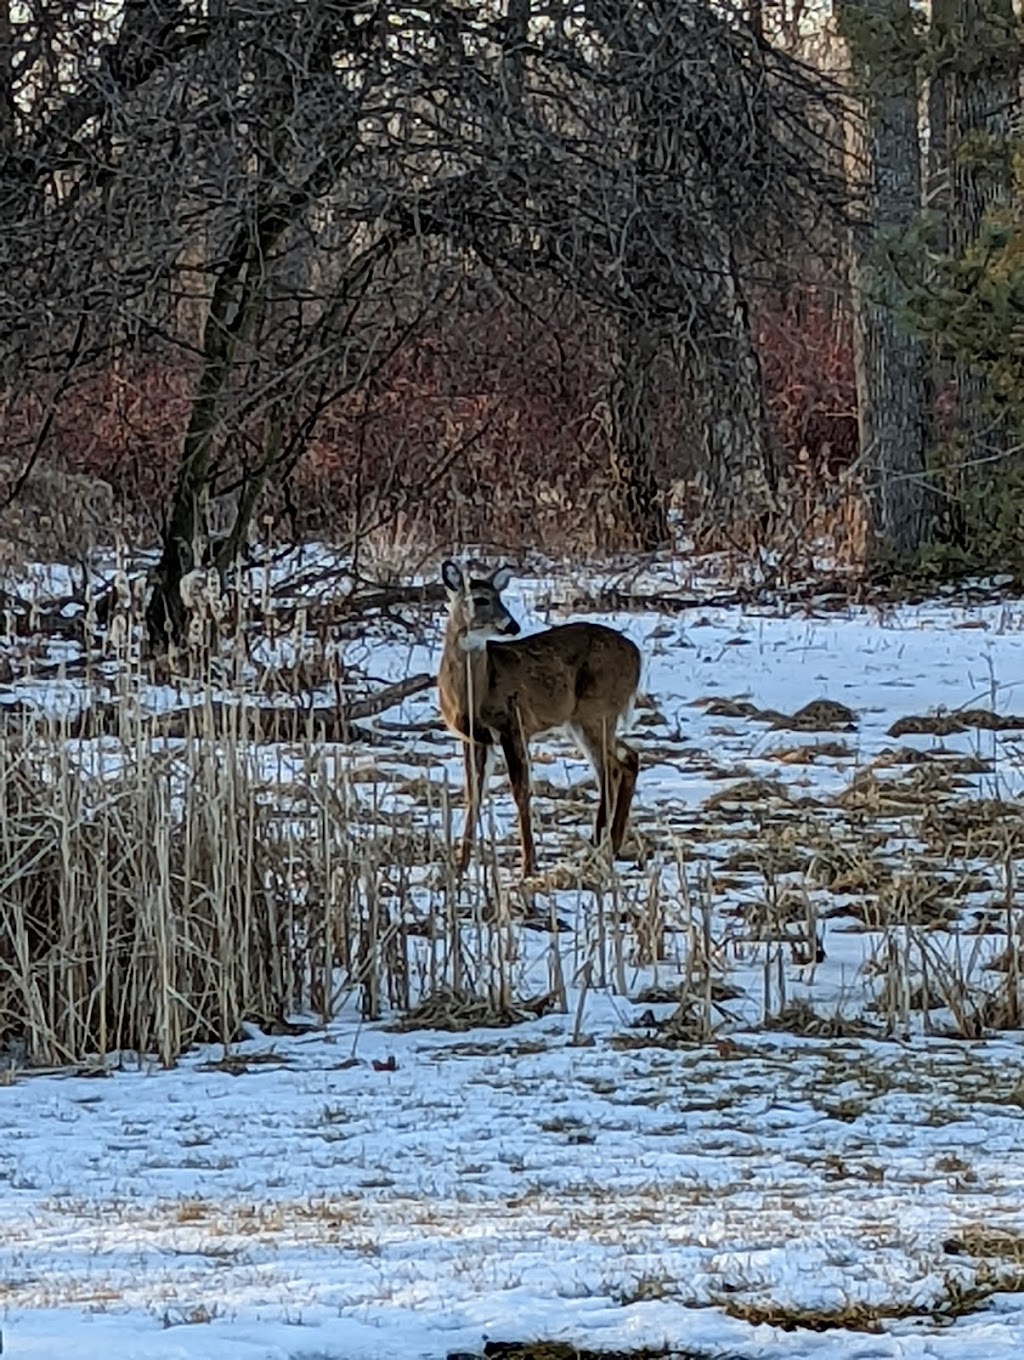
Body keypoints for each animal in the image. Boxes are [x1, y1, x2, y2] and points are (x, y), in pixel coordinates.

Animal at [437, 557, 639, 875]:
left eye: (500, 597)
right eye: (481, 599)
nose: (512, 625)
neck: (474, 694)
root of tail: (637, 656)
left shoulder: (512, 725)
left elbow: (521, 791)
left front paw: (528, 866)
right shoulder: (473, 738)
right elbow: (473, 793)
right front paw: (460, 865)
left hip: (595, 711)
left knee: (610, 770)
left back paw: (596, 849)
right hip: (591, 719)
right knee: (629, 758)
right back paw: (611, 846)